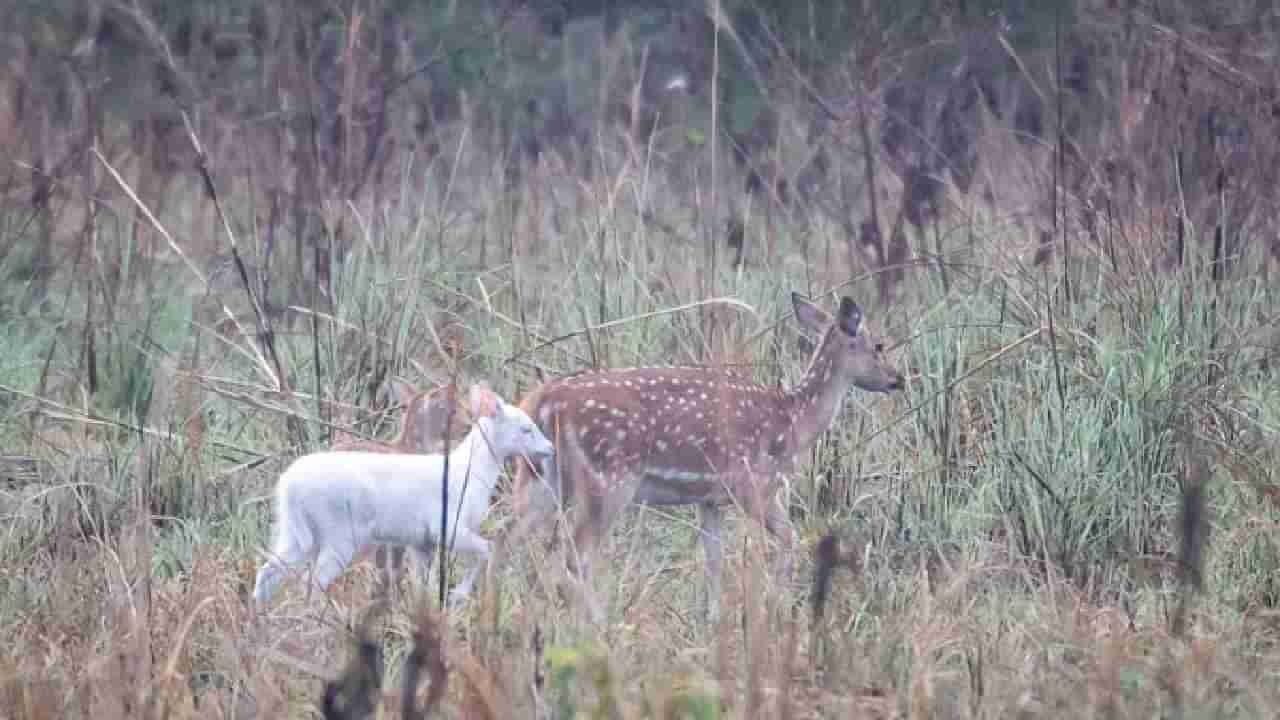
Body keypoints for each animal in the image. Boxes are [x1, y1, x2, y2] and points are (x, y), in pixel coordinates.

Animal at [499, 289, 901, 617]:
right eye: (879, 346)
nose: (898, 379)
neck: (793, 420)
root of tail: (544, 401)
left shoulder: (709, 500)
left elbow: (713, 560)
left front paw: (713, 619)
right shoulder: (755, 484)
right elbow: (789, 538)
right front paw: (771, 606)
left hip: (540, 478)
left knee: (504, 539)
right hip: (608, 479)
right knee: (573, 557)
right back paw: (597, 624)